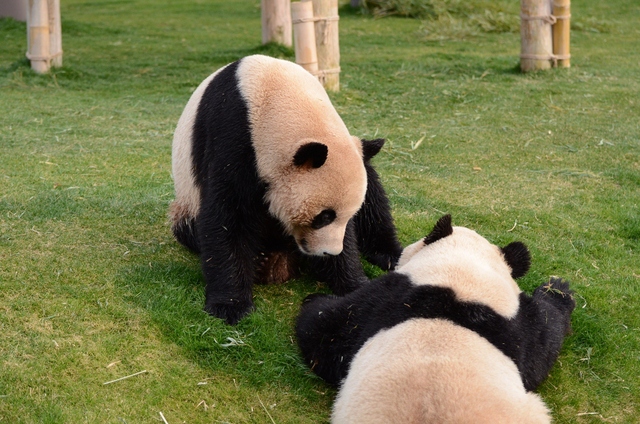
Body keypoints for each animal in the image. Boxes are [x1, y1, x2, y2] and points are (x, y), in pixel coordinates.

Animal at [170, 53, 400, 324]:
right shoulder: (232, 138)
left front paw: (353, 283)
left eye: (347, 216)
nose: (329, 252)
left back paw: (389, 255)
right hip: (186, 202)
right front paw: (230, 306)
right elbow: (226, 216)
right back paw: (261, 262)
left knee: (375, 200)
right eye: (324, 216)